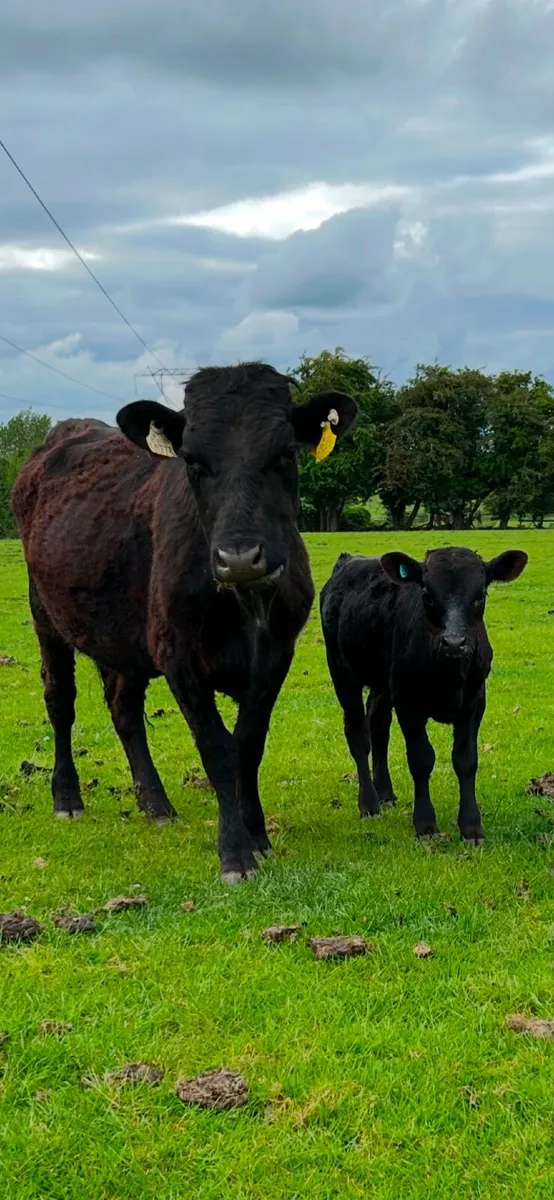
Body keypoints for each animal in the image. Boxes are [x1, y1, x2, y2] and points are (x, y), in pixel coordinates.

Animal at [11, 362, 357, 883]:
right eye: (193, 461)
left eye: (283, 454)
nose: (240, 558)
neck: (245, 604)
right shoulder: (179, 656)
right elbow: (217, 749)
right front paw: (235, 853)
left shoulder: (277, 653)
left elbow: (248, 745)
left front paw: (258, 835)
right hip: (46, 615)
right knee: (60, 702)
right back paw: (67, 796)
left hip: (127, 637)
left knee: (123, 709)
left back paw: (155, 804)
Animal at [320, 546, 528, 843]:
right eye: (427, 595)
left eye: (480, 595)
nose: (454, 643)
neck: (448, 676)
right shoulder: (408, 703)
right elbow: (421, 759)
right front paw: (425, 824)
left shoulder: (475, 702)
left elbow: (466, 760)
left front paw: (471, 827)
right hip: (342, 670)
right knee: (358, 735)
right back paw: (369, 804)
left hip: (383, 683)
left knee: (378, 725)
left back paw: (385, 793)